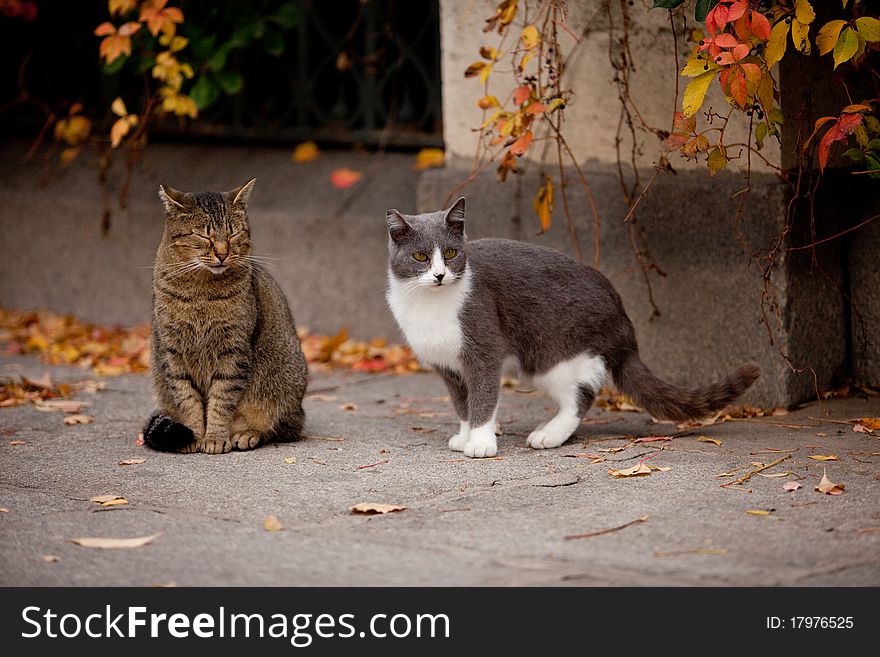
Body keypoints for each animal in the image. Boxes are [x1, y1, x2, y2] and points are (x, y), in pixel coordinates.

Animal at [388, 197, 760, 458]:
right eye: (420, 257)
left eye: (451, 253)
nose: (440, 275)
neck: (431, 305)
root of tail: (622, 316)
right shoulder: (447, 366)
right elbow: (462, 404)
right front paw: (465, 435)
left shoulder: (484, 349)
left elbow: (483, 398)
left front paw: (480, 443)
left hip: (553, 353)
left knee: (581, 395)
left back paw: (549, 434)